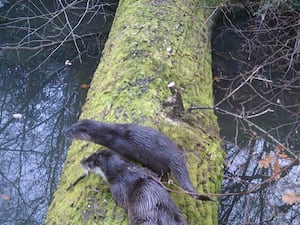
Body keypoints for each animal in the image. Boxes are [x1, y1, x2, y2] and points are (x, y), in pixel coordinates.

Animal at [64, 119, 212, 200]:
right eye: (71, 126)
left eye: (72, 130)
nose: (65, 131)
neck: (109, 135)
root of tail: (174, 154)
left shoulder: (120, 148)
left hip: (157, 162)